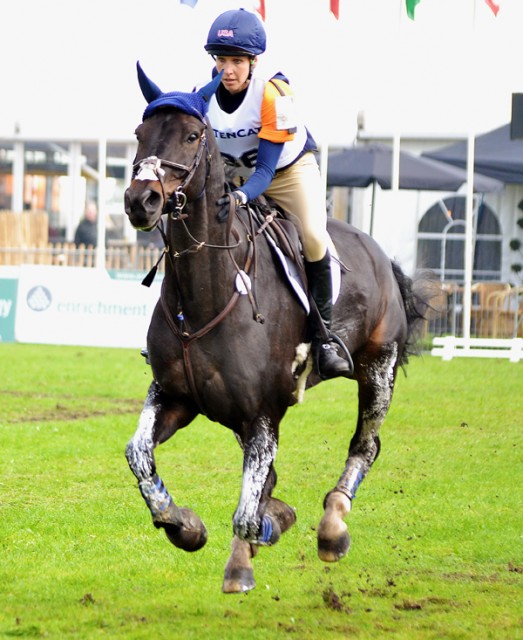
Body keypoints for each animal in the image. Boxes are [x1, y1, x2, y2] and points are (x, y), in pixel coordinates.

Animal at [124, 65, 434, 596]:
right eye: (141, 134)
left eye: (191, 136)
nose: (140, 200)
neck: (205, 292)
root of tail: (381, 255)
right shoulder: (174, 395)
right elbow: (140, 454)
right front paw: (184, 525)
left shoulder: (263, 412)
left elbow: (250, 512)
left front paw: (259, 539)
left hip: (378, 368)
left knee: (365, 445)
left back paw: (333, 526)